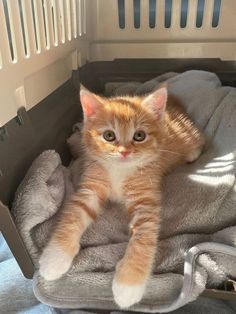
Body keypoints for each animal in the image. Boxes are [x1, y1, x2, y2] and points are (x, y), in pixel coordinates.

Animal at [39, 87, 205, 308]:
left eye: (139, 135)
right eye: (109, 135)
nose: (125, 151)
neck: (119, 169)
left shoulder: (146, 202)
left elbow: (142, 240)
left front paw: (129, 284)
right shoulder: (90, 190)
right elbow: (72, 217)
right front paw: (55, 258)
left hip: (188, 136)